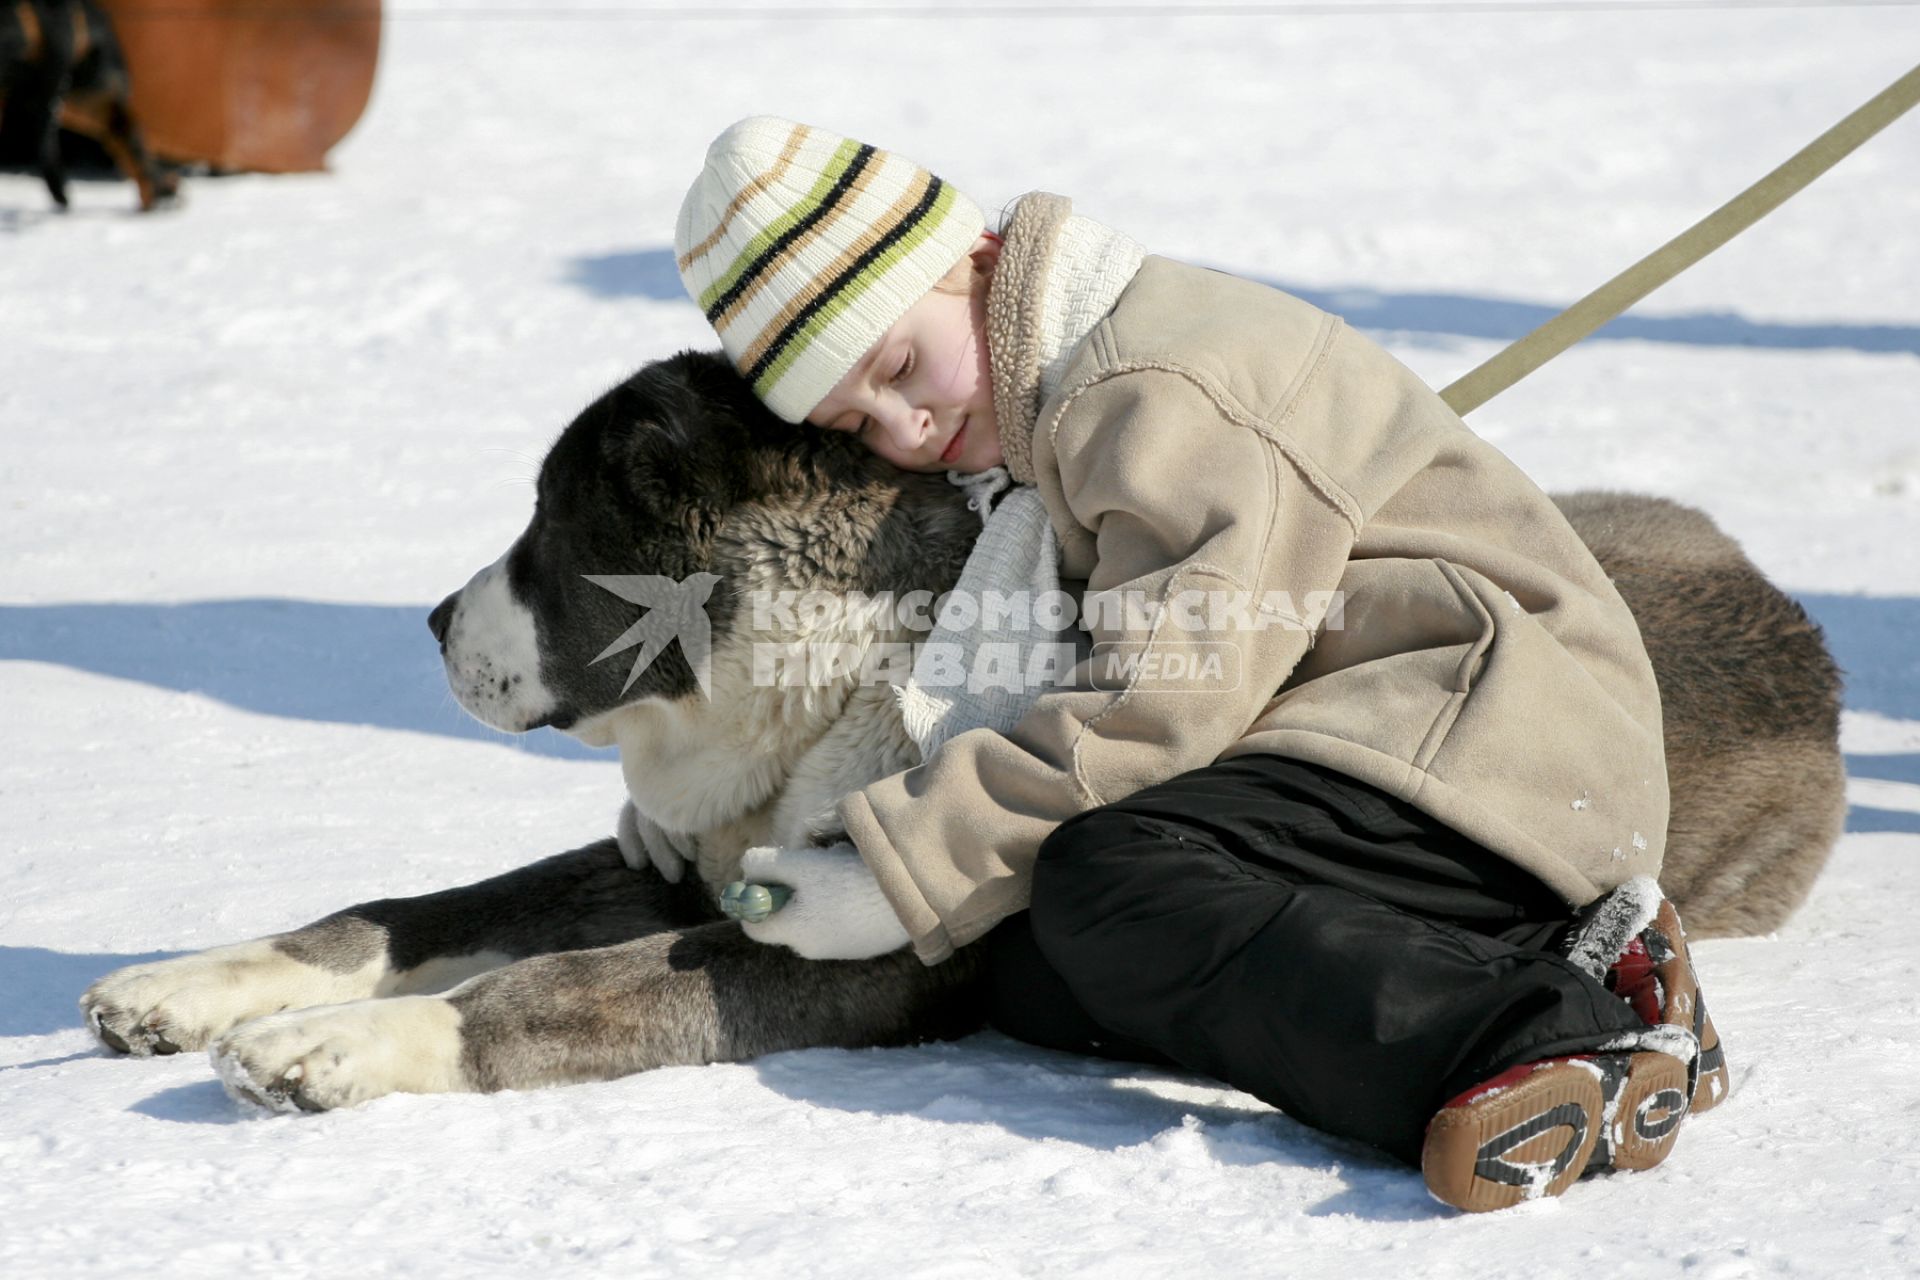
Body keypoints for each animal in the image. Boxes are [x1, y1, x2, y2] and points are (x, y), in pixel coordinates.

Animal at [74, 351, 1843, 1113]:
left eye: (553, 530)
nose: (432, 623)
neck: (845, 664)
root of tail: (1803, 626)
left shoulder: (850, 945)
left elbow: (548, 988)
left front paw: (341, 1050)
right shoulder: (679, 864)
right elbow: (418, 912)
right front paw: (201, 985)